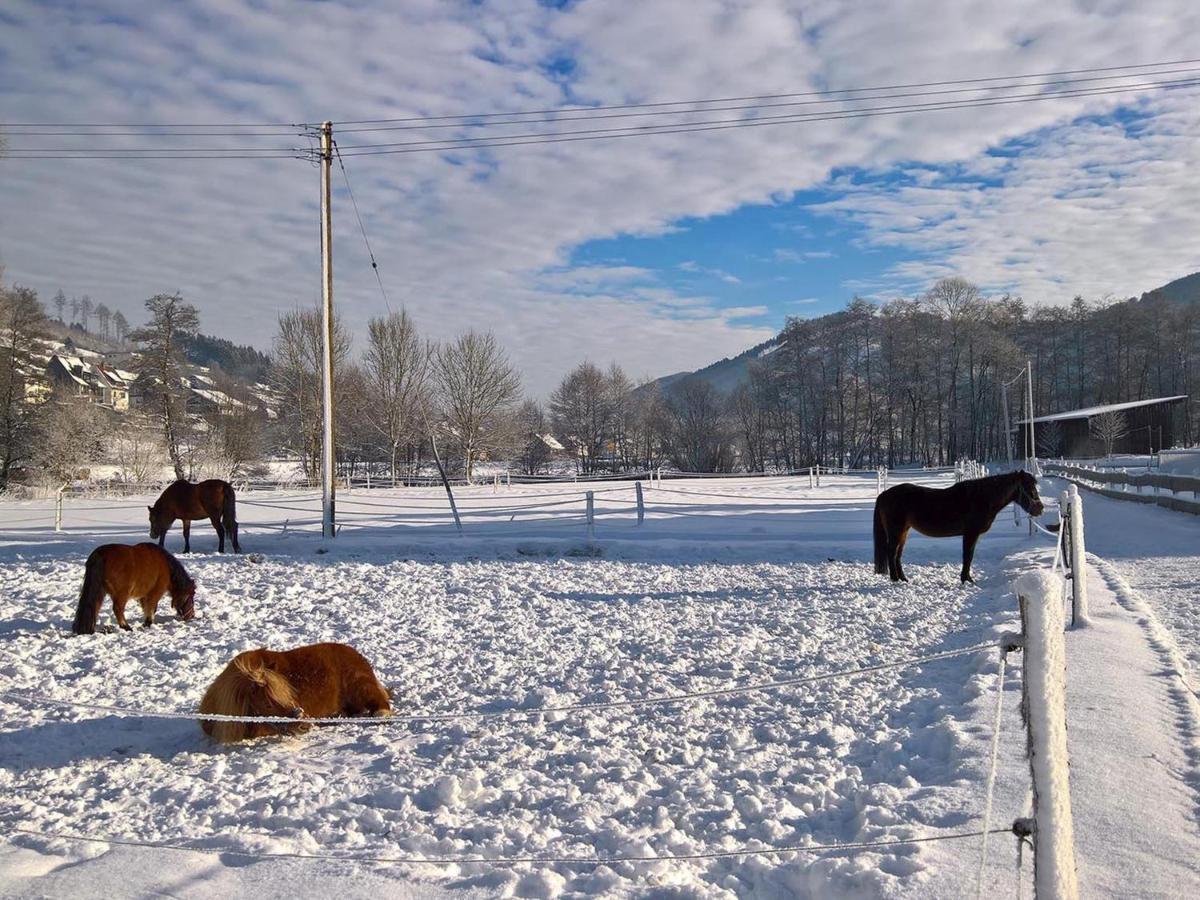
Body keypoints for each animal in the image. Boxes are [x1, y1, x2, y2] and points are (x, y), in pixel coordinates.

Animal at [873, 468, 1041, 588]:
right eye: (1028, 487)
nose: (1040, 508)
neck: (982, 498)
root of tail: (884, 494)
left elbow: (968, 556)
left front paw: (966, 579)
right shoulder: (971, 533)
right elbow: (968, 556)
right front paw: (967, 580)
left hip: (904, 531)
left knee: (897, 555)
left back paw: (903, 579)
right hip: (896, 531)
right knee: (891, 552)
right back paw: (895, 579)